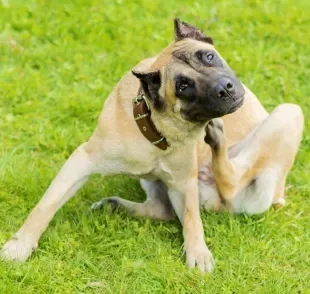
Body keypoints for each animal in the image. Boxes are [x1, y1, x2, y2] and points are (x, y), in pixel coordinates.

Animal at [1, 19, 304, 274]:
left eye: (208, 56)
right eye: (183, 86)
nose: (225, 87)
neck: (158, 127)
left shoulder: (183, 184)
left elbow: (192, 220)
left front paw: (198, 253)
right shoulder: (82, 160)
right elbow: (46, 204)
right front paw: (21, 244)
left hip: (288, 114)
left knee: (228, 183)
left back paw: (216, 139)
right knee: (171, 206)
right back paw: (116, 206)